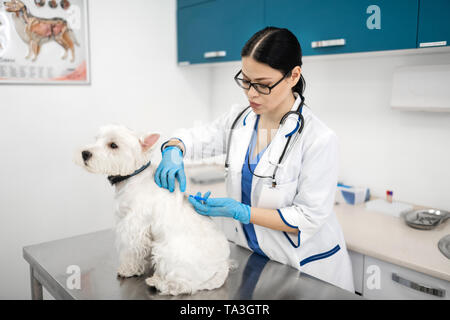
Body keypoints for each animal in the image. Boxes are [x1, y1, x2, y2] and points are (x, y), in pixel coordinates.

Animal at [74, 124, 232, 296]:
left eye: (113, 145)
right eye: (96, 139)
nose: (84, 153)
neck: (132, 177)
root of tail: (222, 265)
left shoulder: (133, 226)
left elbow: (131, 251)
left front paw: (128, 269)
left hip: (167, 252)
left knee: (184, 285)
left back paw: (158, 282)